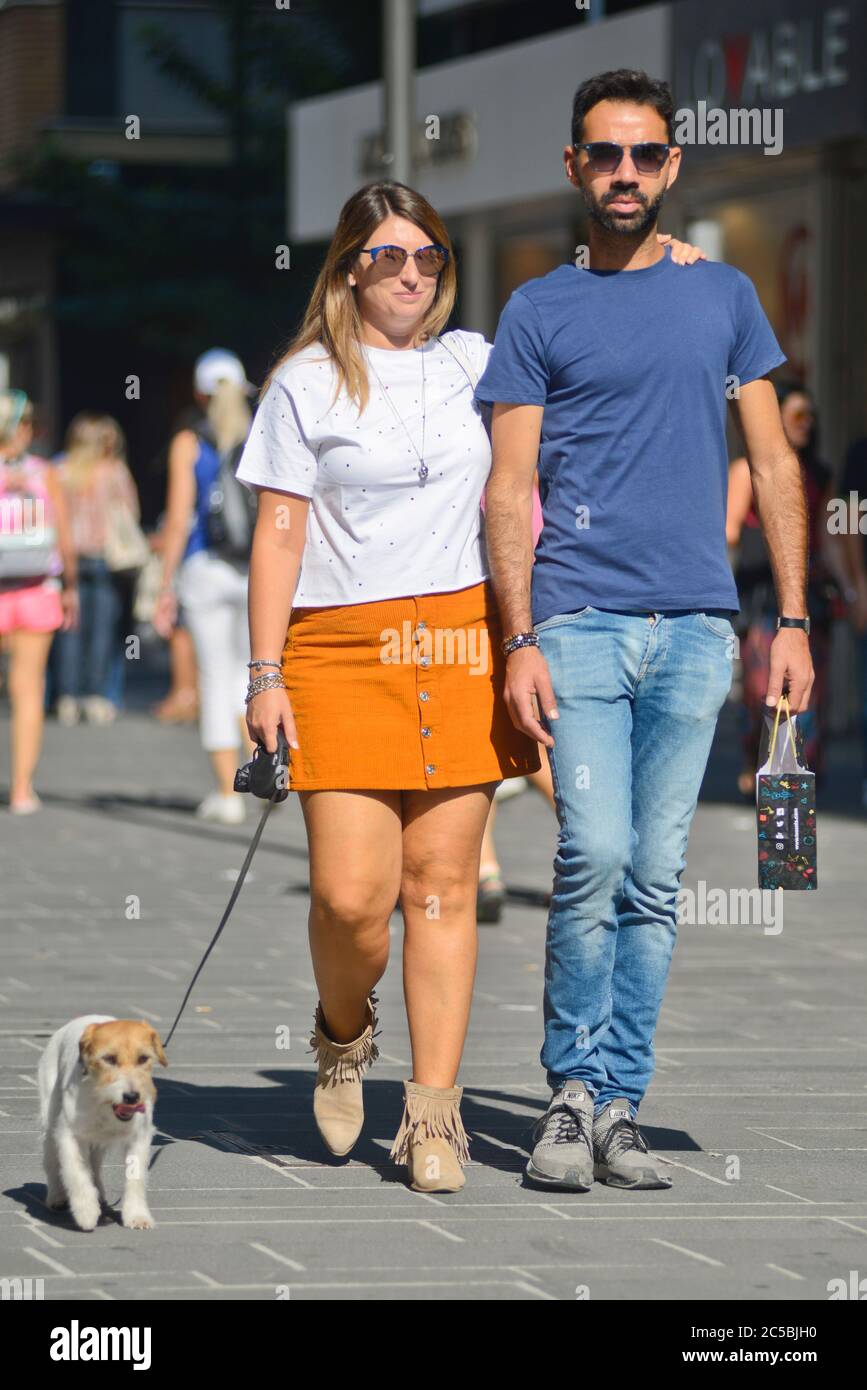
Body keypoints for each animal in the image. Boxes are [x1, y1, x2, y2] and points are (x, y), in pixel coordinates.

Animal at [38, 1017, 167, 1234]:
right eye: (109, 1059)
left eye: (143, 1058)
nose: (132, 1097)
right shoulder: (70, 1135)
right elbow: (77, 1173)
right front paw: (86, 1212)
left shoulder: (139, 1138)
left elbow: (135, 1177)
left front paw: (137, 1216)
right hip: (50, 1119)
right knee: (52, 1161)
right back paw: (56, 1196)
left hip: (97, 1142)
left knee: (95, 1166)